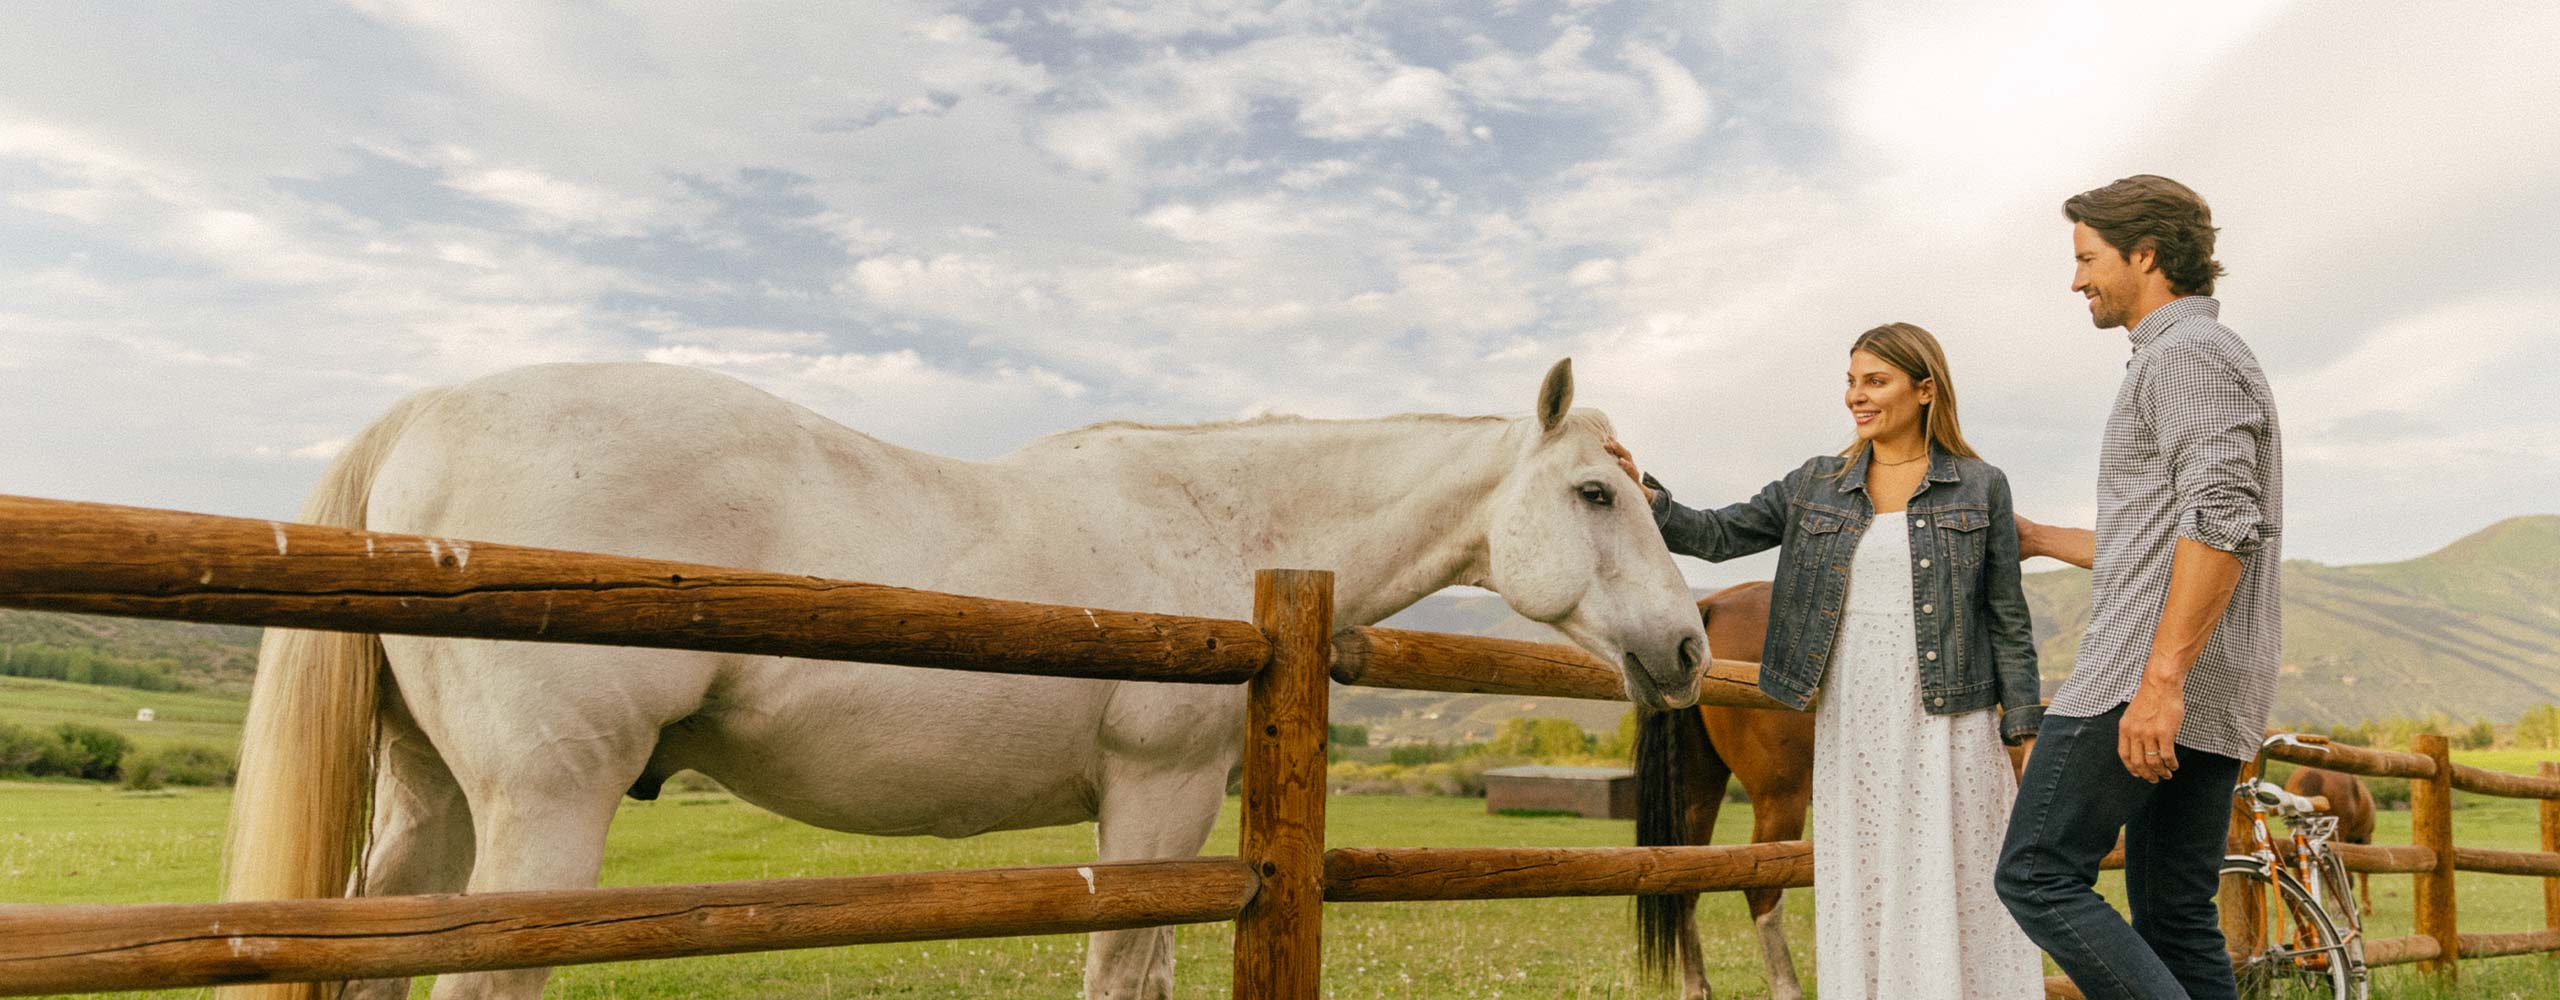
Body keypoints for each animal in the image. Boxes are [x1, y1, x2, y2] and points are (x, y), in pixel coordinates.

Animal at [215, 355, 1699, 997]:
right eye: (1590, 493)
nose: (1687, 647)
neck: (1228, 532)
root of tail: (425, 413)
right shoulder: (1153, 804)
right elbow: (1123, 977)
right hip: (543, 812)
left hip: (432, 808)